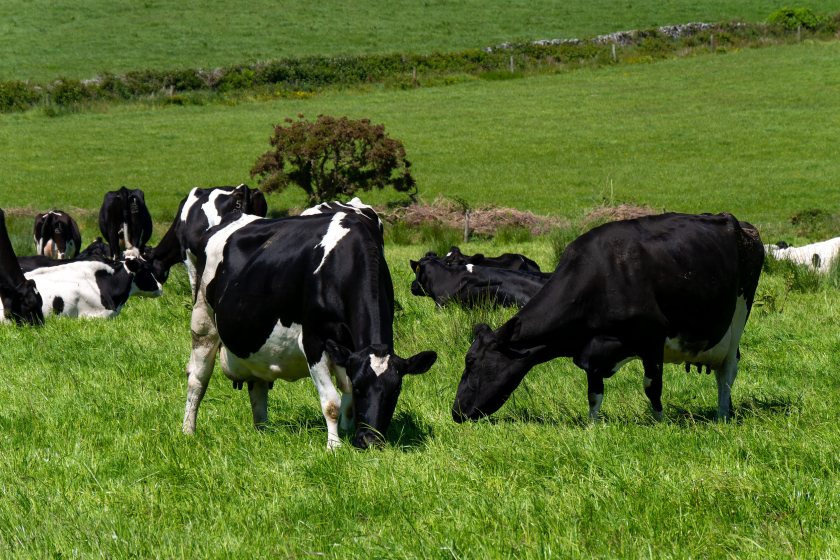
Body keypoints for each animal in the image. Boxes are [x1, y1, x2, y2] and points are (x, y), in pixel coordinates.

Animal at [182, 211, 437, 449]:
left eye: (396, 390)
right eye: (360, 388)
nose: (370, 441)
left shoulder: (347, 350)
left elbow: (345, 399)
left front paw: (346, 432)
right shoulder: (314, 341)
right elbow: (332, 402)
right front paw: (334, 446)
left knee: (258, 386)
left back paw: (263, 432)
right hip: (203, 320)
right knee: (197, 378)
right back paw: (188, 431)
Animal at [452, 212, 764, 424]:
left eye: (471, 362)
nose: (456, 412)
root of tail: (738, 222)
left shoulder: (652, 339)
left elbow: (652, 387)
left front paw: (659, 423)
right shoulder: (591, 351)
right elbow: (594, 393)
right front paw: (592, 427)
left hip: (737, 318)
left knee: (727, 373)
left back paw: (723, 416)